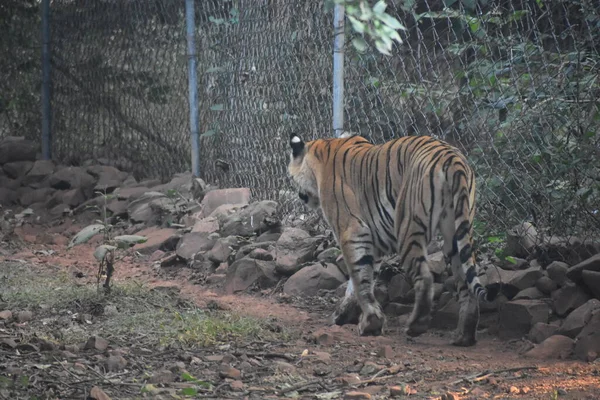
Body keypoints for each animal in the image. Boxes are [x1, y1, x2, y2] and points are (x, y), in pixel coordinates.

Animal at [288, 133, 500, 346]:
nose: (299, 195)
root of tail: (452, 157)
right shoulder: (374, 242)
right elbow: (362, 280)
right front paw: (345, 315)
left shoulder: (352, 232)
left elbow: (359, 279)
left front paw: (370, 323)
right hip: (456, 234)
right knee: (466, 282)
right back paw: (463, 336)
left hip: (407, 228)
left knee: (425, 277)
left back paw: (416, 325)